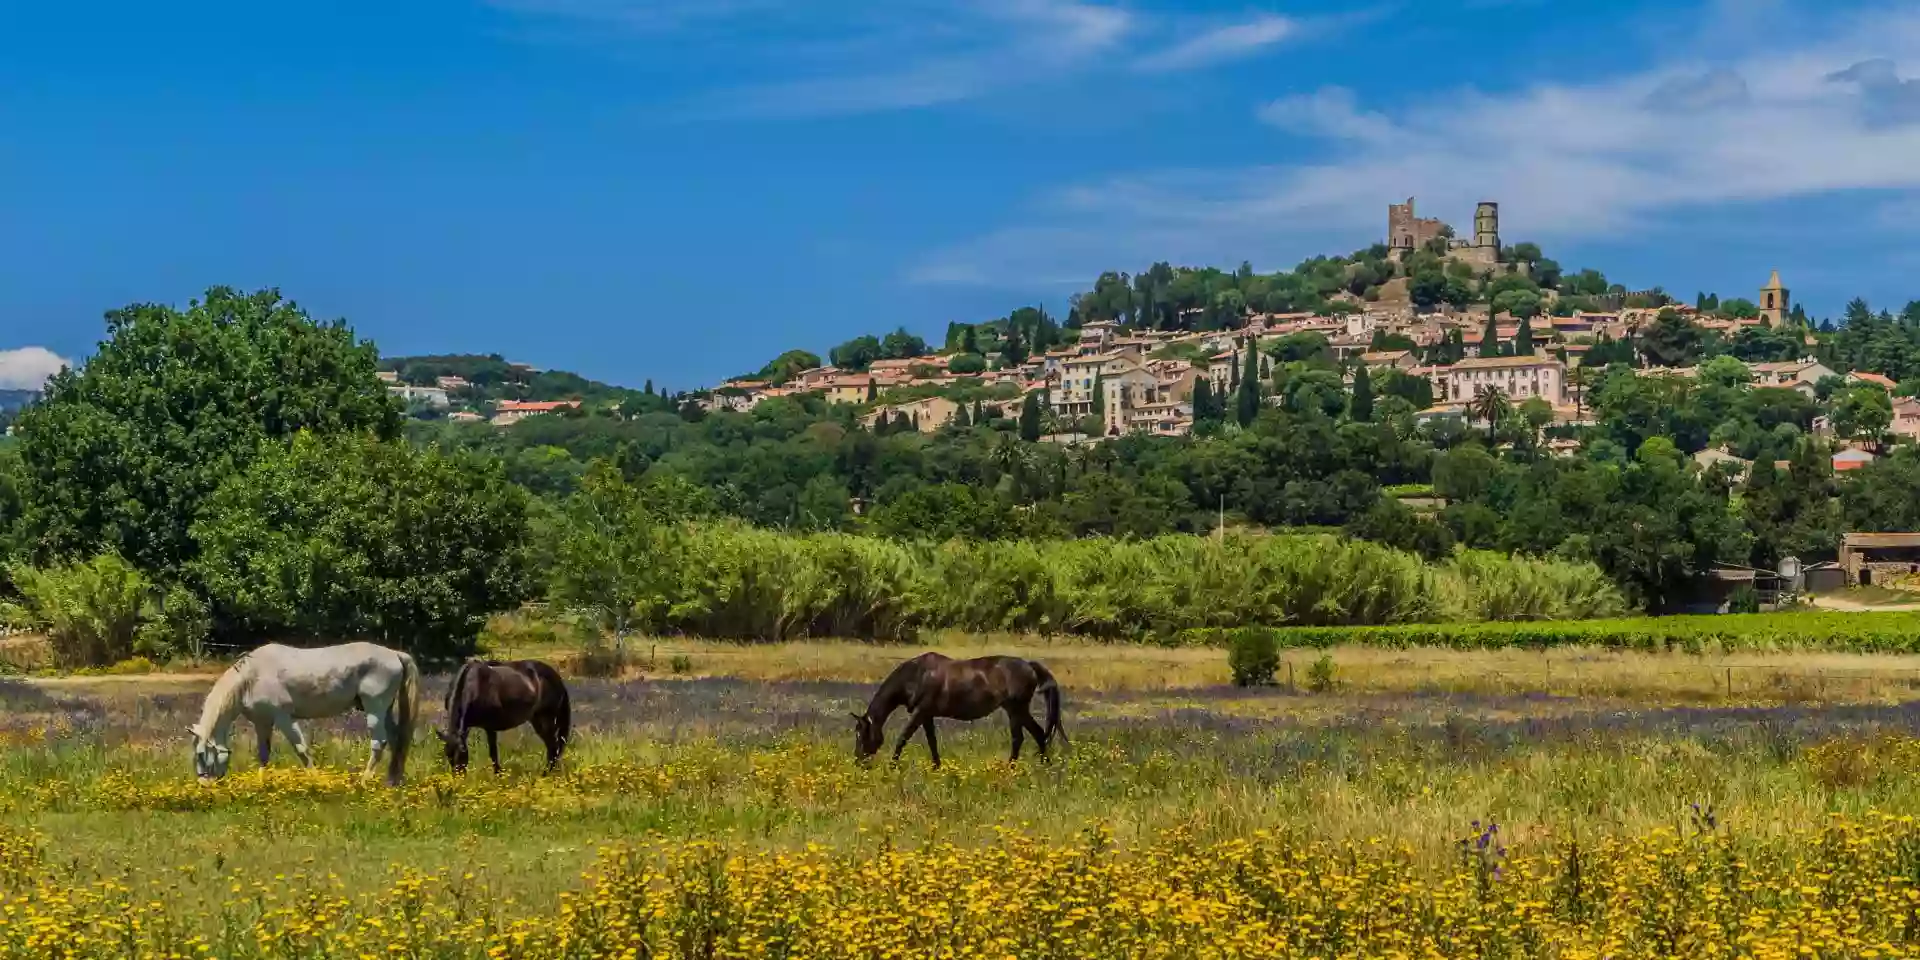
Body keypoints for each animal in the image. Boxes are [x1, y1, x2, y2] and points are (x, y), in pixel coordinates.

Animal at [189, 641, 422, 783]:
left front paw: (315, 781)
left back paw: (365, 781)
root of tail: (395, 654)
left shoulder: (284, 719)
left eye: (201, 754)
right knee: (396, 739)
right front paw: (262, 782)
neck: (250, 678)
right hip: (385, 712)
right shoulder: (263, 722)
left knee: (379, 743)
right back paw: (392, 781)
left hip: (375, 710)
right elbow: (263, 754)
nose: (203, 783)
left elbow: (302, 750)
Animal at [439, 660, 572, 771]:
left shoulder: (490, 727)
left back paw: (547, 773)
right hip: (537, 720)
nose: (460, 780)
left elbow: (493, 754)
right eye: (448, 757)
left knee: (553, 747)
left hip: (546, 719)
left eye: (461, 756)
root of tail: (557, 678)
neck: (474, 685)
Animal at [856, 648, 1067, 768]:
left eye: (861, 734)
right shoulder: (927, 715)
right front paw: (936, 767)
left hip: (1017, 709)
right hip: (1014, 710)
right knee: (1031, 735)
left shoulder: (920, 712)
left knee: (1027, 736)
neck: (917, 675)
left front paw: (892, 766)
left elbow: (903, 737)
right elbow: (932, 741)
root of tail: (1029, 665)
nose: (858, 762)